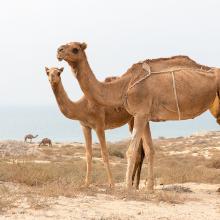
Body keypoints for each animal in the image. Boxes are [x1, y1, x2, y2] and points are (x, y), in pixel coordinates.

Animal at [56, 42, 220, 190]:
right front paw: (149, 187)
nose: (59, 50)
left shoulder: (140, 114)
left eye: (75, 49)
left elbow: (131, 151)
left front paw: (127, 187)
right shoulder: (144, 115)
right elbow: (149, 150)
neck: (123, 86)